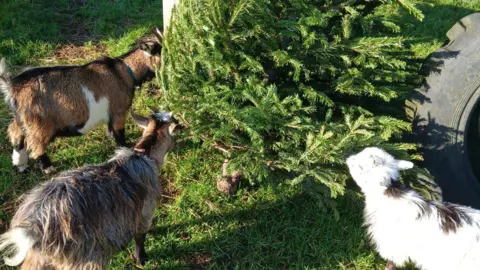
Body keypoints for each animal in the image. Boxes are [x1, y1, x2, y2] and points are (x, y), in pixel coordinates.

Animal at [0, 27, 163, 174]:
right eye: (162, 51)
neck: (124, 72)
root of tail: (12, 86)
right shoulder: (118, 111)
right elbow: (119, 135)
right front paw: (123, 150)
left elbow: (111, 129)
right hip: (38, 123)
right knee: (35, 145)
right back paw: (47, 168)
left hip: (22, 118)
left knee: (15, 132)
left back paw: (20, 163)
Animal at [0, 110, 178, 270]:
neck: (145, 154)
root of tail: (34, 228)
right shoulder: (146, 210)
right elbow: (140, 237)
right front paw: (141, 259)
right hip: (84, 257)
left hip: (39, 257)